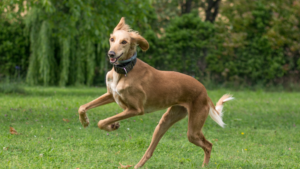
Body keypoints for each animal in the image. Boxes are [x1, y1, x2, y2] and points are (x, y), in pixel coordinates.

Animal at [78, 16, 233, 168]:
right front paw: (86, 122)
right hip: (166, 121)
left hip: (193, 130)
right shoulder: (111, 95)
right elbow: (82, 107)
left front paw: (111, 126)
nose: (111, 53)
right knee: (150, 152)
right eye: (112, 39)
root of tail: (204, 91)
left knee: (208, 145)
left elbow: (101, 122)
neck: (125, 71)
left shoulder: (135, 109)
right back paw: (136, 165)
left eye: (124, 41)